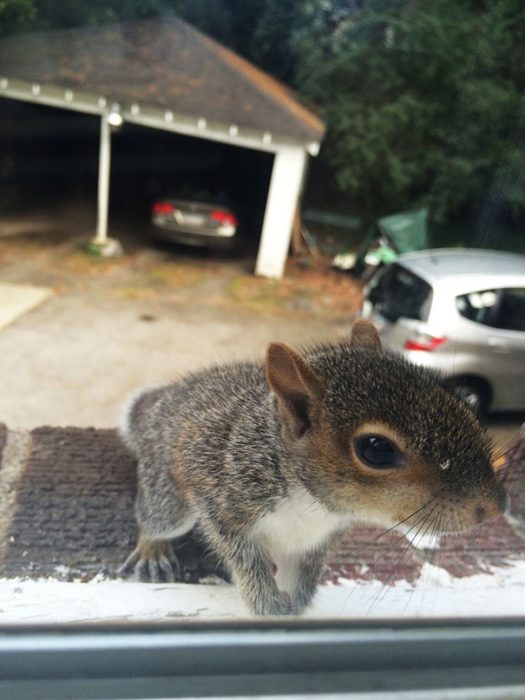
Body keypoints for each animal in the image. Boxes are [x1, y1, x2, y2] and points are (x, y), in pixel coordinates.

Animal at [118, 320, 508, 616]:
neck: (314, 503)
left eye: (462, 402)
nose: (496, 506)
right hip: (168, 492)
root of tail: (168, 402)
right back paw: (153, 550)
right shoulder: (227, 498)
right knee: (154, 517)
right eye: (376, 449)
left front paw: (299, 603)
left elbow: (306, 570)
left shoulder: (319, 538)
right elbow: (245, 559)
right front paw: (268, 605)